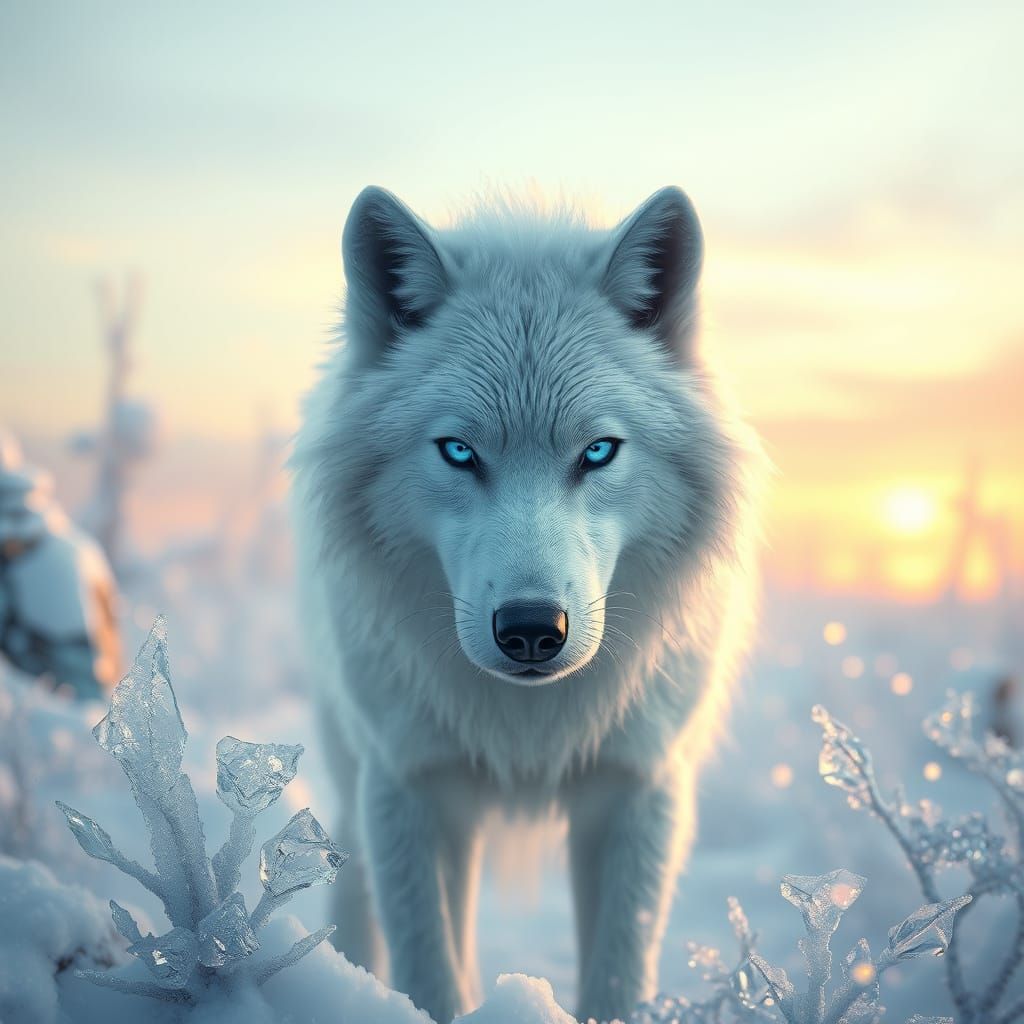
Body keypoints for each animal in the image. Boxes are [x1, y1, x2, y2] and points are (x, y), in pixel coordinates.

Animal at [290, 185, 762, 1023]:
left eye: (598, 451)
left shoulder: (637, 788)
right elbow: (431, 974)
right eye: (458, 451)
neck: (529, 729)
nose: (533, 630)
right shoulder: (411, 782)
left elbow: (617, 977)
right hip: (357, 774)